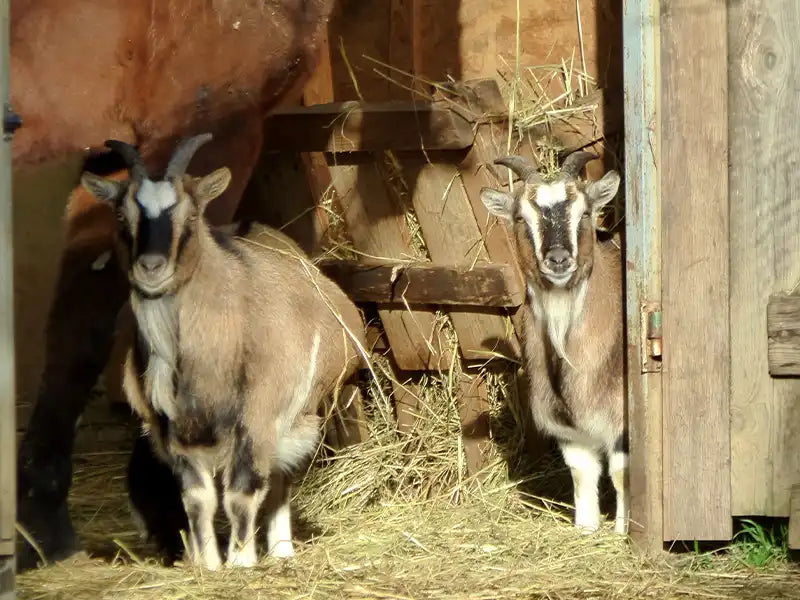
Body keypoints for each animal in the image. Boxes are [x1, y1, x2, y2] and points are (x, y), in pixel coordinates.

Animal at [80, 133, 367, 569]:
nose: (151, 267)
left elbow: (241, 493)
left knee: (280, 478)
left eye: (191, 216)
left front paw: (241, 562)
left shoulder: (259, 414)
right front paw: (208, 564)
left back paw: (281, 549)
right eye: (121, 216)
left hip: (294, 413)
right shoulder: (172, 432)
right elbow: (198, 500)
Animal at [480, 151, 627, 534]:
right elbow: (582, 474)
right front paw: (586, 529)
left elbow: (621, 474)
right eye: (520, 218)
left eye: (585, 212)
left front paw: (623, 531)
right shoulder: (569, 430)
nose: (558, 259)